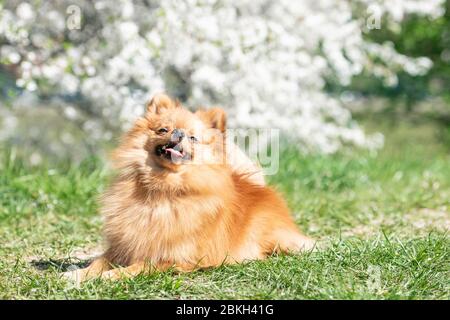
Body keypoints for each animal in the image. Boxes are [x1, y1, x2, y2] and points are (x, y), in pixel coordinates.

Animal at [63, 93, 314, 282]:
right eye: (163, 130)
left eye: (193, 138)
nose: (179, 133)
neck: (162, 188)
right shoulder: (123, 245)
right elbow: (99, 261)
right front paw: (79, 274)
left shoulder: (172, 257)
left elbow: (137, 267)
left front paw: (110, 276)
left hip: (277, 240)